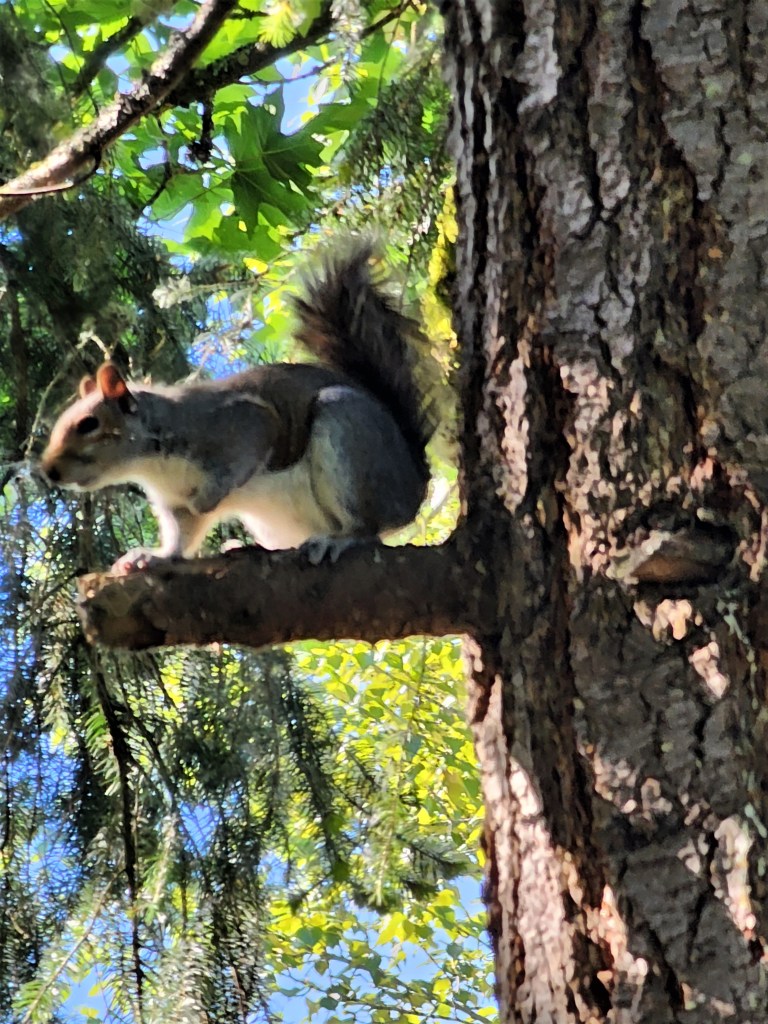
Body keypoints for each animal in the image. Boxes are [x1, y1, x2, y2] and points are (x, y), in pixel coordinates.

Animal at [40, 243, 434, 573]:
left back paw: (342, 538)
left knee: (370, 526)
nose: (49, 472)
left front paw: (208, 499)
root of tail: (415, 482)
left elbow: (240, 459)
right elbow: (181, 537)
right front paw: (152, 557)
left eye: (88, 424)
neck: (151, 465)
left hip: (349, 436)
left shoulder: (237, 426)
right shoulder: (173, 505)